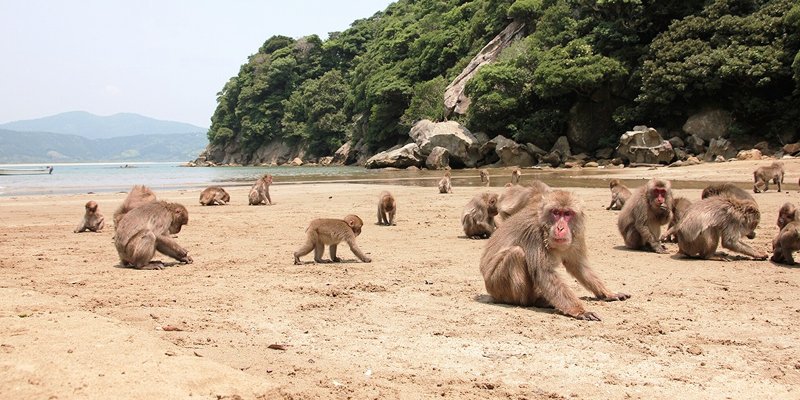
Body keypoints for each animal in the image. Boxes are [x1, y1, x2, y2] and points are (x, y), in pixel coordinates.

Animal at [480, 190, 630, 321]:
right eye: (556, 213)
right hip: (497, 286)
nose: (560, 228)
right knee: (516, 253)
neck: (545, 226)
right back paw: (533, 301)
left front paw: (608, 294)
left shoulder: (577, 234)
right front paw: (580, 311)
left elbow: (578, 266)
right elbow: (544, 273)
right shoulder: (533, 233)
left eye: (567, 213)